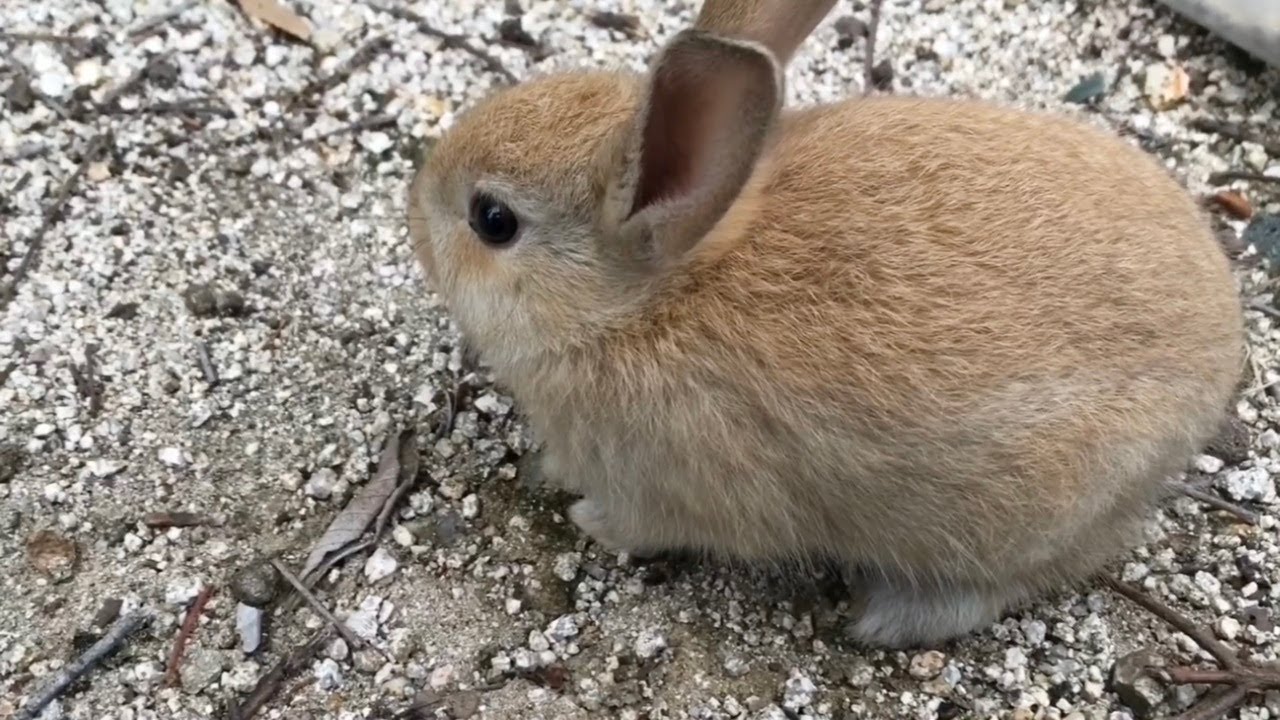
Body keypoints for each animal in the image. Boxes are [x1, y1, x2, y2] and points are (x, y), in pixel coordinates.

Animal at [406, 0, 1245, 648]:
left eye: (492, 220)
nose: (413, 213)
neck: (644, 302)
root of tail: (1224, 352)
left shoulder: (670, 489)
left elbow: (640, 525)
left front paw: (585, 516)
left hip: (1037, 512)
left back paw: (885, 621)